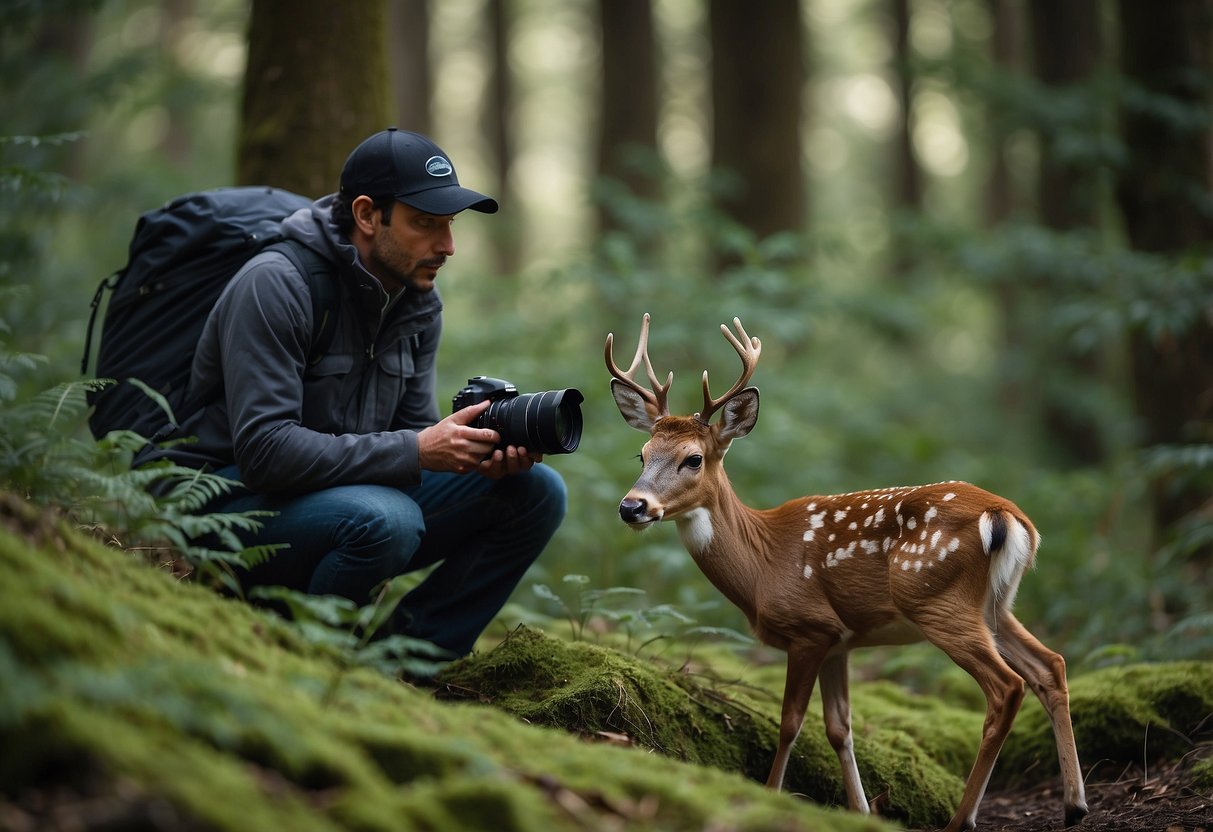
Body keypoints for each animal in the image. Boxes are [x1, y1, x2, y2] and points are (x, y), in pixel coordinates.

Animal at [606, 315, 1091, 832]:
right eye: (642, 454)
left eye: (693, 458)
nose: (632, 507)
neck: (762, 565)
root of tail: (1007, 516)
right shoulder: (839, 640)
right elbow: (840, 728)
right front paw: (861, 811)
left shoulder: (808, 628)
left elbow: (790, 723)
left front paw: (772, 795)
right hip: (996, 603)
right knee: (1050, 665)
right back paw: (1074, 805)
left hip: (937, 599)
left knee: (1006, 688)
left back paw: (962, 819)